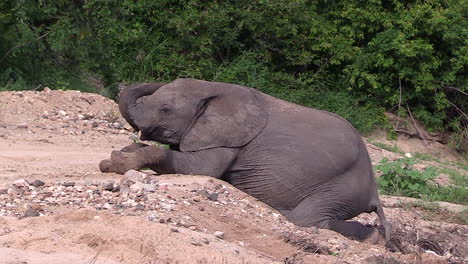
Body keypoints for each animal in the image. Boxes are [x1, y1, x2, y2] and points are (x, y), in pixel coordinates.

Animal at [100, 79, 390, 245]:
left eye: (165, 110)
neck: (216, 89)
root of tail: (374, 192)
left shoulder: (230, 138)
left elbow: (201, 168)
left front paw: (116, 163)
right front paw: (118, 157)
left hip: (342, 189)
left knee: (308, 220)